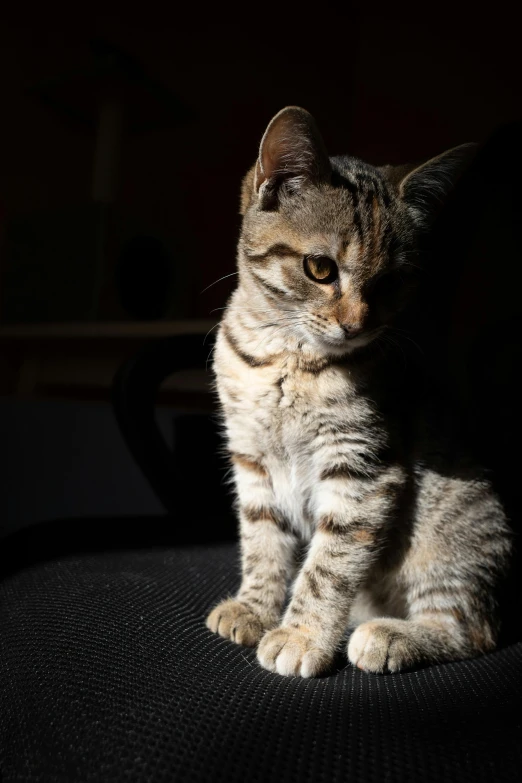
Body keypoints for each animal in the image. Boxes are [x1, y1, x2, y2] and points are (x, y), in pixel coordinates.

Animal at [205, 105, 510, 680]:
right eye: (320, 268)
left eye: (390, 283)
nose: (357, 325)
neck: (286, 359)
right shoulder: (252, 459)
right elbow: (261, 542)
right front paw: (254, 608)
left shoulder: (361, 468)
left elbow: (328, 565)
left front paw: (301, 635)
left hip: (448, 533)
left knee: (471, 628)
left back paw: (388, 635)